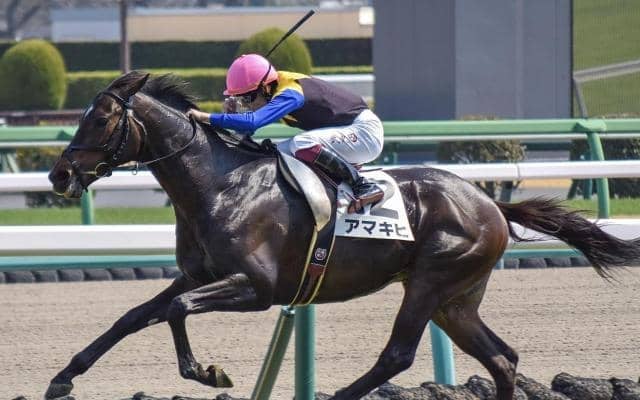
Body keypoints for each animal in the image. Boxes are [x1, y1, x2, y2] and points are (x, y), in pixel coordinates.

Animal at [46, 71, 640, 400]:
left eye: (99, 120)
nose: (59, 175)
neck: (218, 183)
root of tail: (490, 201)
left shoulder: (257, 288)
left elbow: (176, 311)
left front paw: (209, 373)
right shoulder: (197, 276)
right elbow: (132, 317)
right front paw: (64, 378)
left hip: (430, 281)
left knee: (397, 355)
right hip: (457, 300)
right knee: (501, 359)